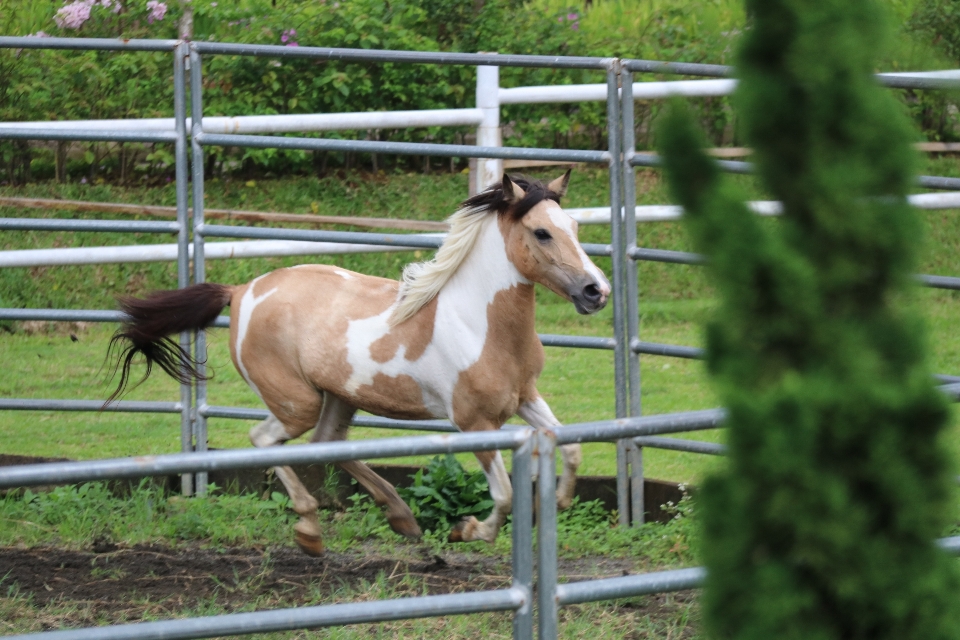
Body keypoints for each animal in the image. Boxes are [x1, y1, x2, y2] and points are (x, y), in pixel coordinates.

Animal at [105, 171, 612, 556]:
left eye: (574, 227)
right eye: (542, 232)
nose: (596, 291)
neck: (477, 323)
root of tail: (241, 291)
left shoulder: (525, 397)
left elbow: (571, 449)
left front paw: (557, 503)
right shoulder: (474, 423)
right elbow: (504, 494)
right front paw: (467, 530)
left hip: (339, 396)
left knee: (327, 443)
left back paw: (401, 518)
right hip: (297, 403)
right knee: (265, 441)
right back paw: (311, 531)